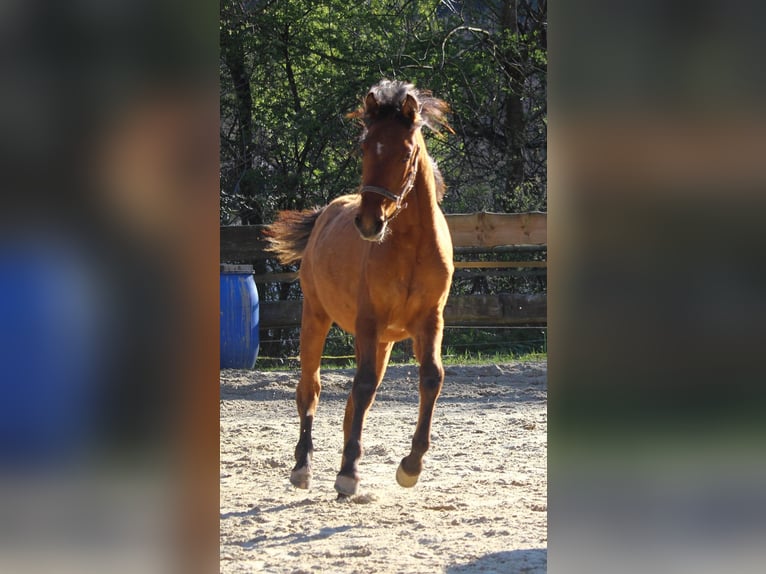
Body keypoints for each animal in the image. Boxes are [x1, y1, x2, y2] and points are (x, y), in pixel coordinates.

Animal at [266, 80, 454, 497]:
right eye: (366, 146)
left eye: (405, 152)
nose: (369, 223)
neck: (411, 247)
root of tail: (325, 213)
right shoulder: (369, 320)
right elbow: (363, 385)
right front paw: (349, 473)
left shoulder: (429, 322)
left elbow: (430, 378)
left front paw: (411, 465)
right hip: (316, 318)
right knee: (311, 388)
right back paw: (303, 466)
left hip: (382, 342)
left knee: (355, 402)